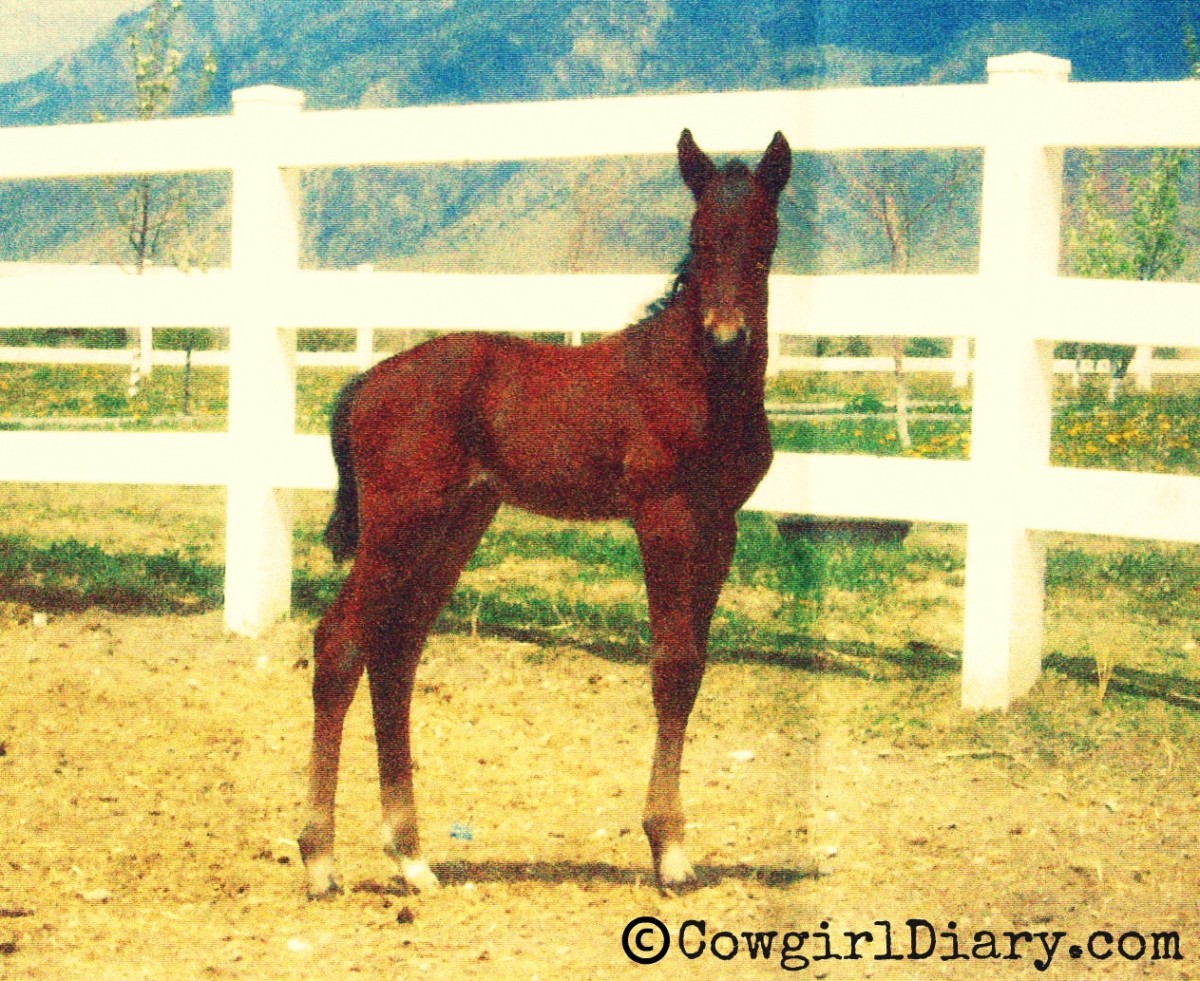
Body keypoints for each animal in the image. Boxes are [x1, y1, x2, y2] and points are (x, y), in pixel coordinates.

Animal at [296, 128, 792, 892]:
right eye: (698, 238)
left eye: (765, 240)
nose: (727, 336)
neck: (697, 381)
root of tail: (367, 383)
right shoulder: (662, 515)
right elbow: (671, 664)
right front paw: (669, 849)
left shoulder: (721, 524)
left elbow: (693, 668)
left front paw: (674, 843)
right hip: (398, 525)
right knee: (339, 643)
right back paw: (321, 858)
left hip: (455, 525)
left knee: (396, 652)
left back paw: (412, 856)